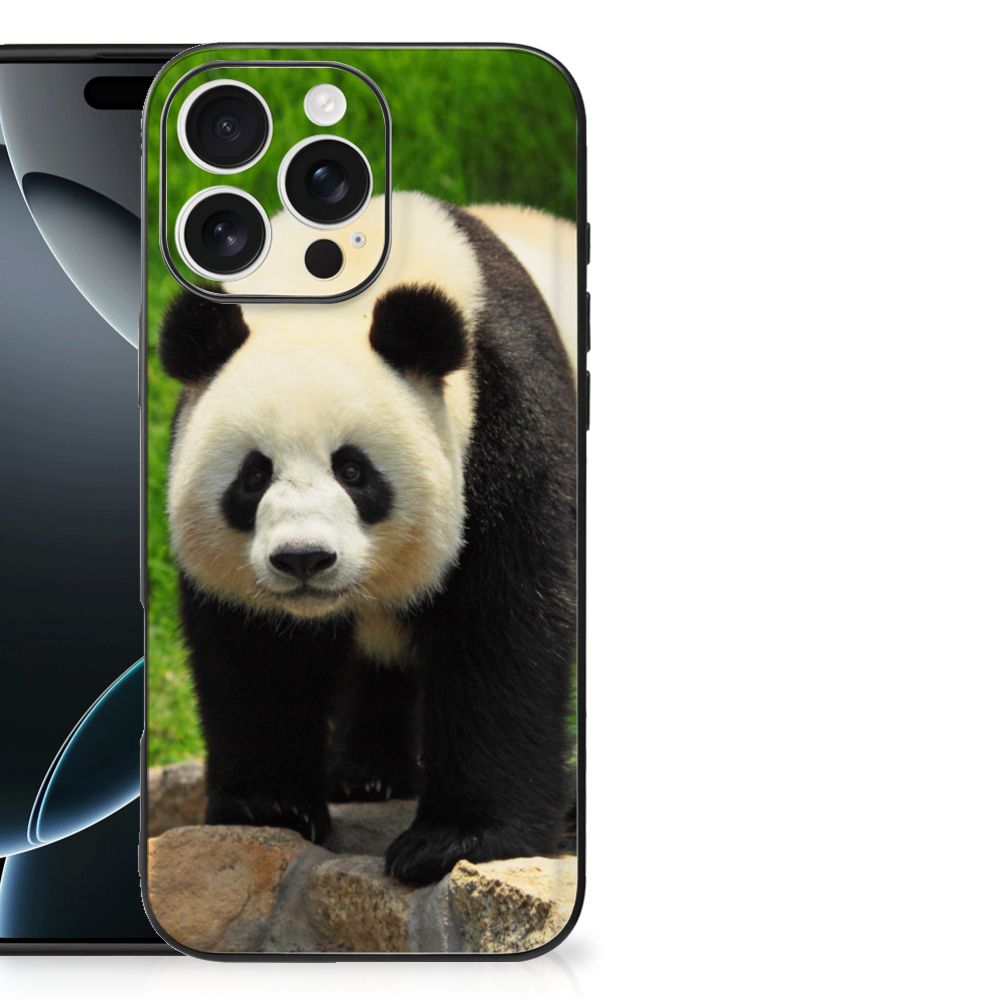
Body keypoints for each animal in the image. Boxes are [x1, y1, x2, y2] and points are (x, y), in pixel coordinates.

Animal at [158, 192, 577, 886]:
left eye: (353, 471)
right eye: (254, 475)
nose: (303, 559)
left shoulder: (506, 419)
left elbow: (503, 626)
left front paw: (454, 840)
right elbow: (256, 652)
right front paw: (269, 806)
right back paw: (367, 775)